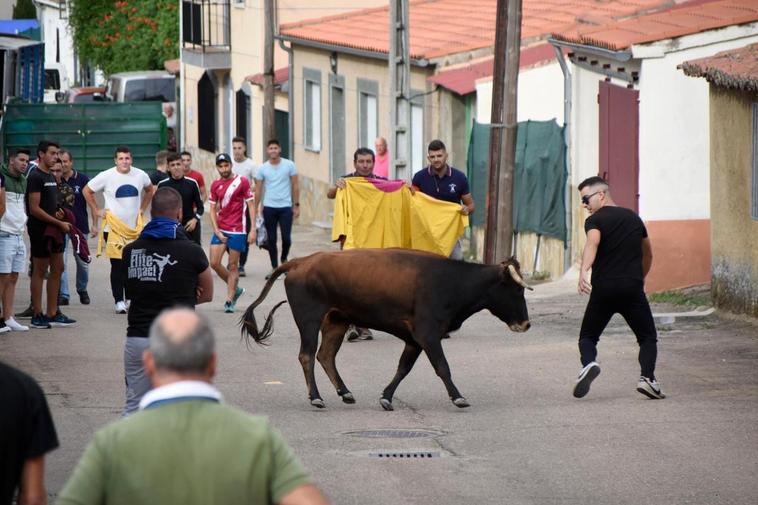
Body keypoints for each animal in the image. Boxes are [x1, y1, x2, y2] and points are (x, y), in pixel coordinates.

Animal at [240, 248, 532, 410]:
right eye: (516, 289)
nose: (526, 324)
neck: (452, 282)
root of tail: (300, 262)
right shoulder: (428, 334)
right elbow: (442, 367)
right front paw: (458, 397)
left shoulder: (414, 339)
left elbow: (403, 368)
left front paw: (386, 397)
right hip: (309, 320)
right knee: (307, 355)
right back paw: (316, 398)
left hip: (336, 321)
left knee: (325, 355)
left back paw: (345, 392)